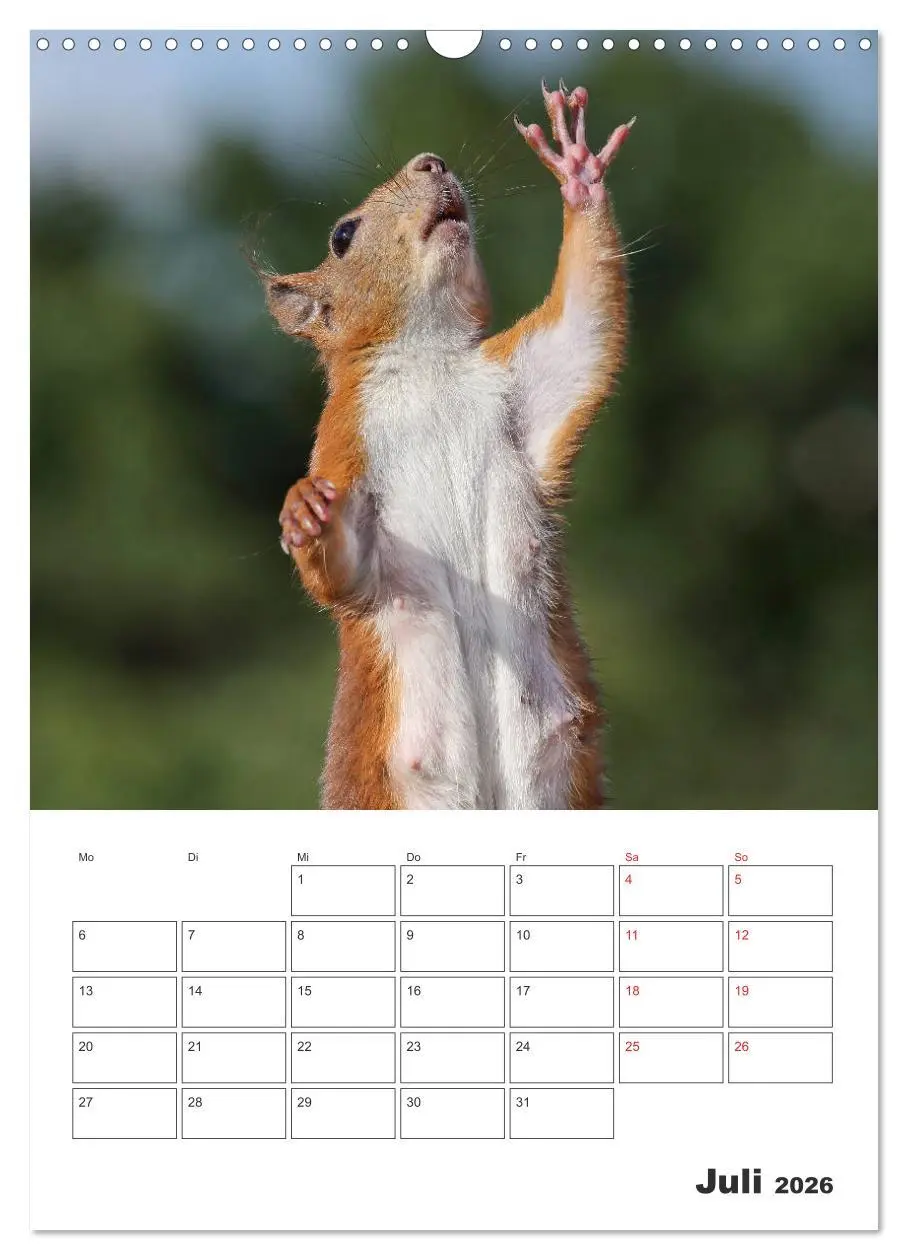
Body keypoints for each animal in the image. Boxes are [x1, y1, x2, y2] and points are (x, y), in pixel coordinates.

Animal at [261, 82, 632, 809]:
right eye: (342, 236)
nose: (431, 161)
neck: (426, 356)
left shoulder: (521, 384)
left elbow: (585, 330)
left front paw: (577, 169)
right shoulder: (342, 449)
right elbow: (345, 572)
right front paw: (304, 516)